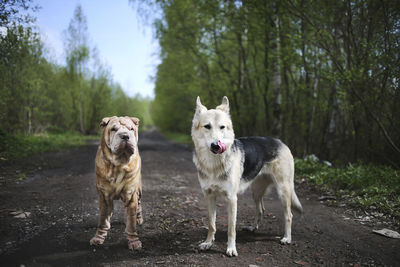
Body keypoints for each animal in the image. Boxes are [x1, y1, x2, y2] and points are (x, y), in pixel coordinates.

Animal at [90, 116, 143, 251]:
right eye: (113, 129)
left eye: (131, 129)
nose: (125, 136)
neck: (118, 164)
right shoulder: (104, 196)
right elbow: (103, 220)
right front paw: (98, 238)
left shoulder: (131, 195)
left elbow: (131, 223)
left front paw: (134, 241)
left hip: (139, 190)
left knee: (139, 206)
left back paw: (139, 218)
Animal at [192, 96, 302, 258]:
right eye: (207, 126)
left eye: (222, 127)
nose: (216, 145)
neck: (213, 165)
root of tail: (280, 141)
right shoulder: (209, 196)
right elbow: (211, 224)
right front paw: (208, 243)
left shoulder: (232, 199)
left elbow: (231, 229)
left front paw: (231, 249)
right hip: (256, 192)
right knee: (261, 209)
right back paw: (253, 228)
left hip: (283, 191)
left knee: (289, 215)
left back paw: (287, 238)